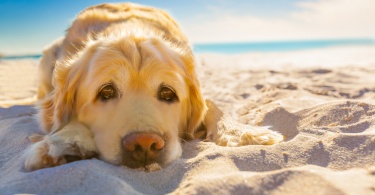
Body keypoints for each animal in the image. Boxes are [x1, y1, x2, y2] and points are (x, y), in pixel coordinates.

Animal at [25, 2, 284, 171]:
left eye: (168, 93)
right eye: (106, 91)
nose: (145, 143)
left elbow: (211, 104)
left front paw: (243, 133)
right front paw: (63, 142)